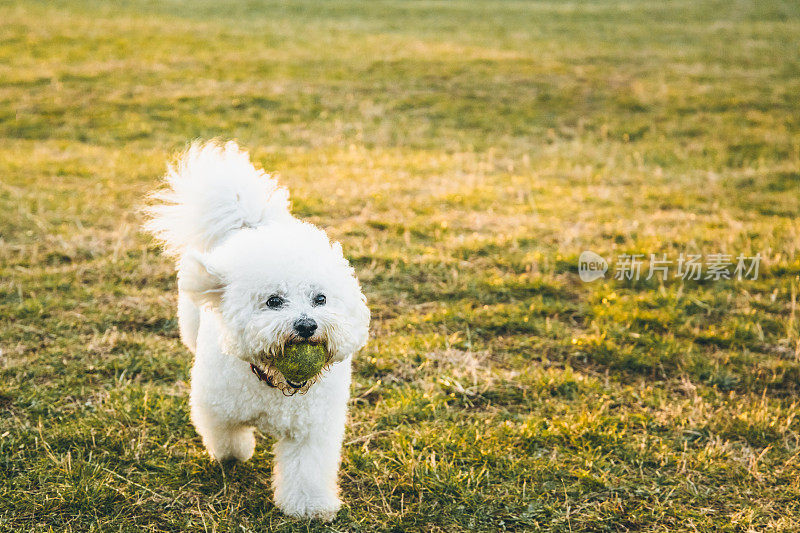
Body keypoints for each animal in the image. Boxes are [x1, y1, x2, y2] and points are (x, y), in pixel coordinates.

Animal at [143, 140, 368, 520]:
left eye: (320, 299)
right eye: (274, 301)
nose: (307, 325)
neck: (276, 384)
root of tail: (250, 224)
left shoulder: (311, 431)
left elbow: (306, 470)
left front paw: (309, 506)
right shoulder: (216, 407)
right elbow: (227, 439)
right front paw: (234, 456)